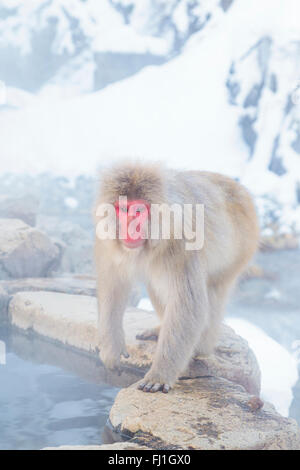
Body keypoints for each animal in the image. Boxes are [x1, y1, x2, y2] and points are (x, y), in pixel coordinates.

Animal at [95, 162, 258, 392]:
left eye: (138, 210)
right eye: (123, 209)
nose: (129, 227)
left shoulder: (182, 243)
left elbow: (189, 306)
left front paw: (160, 374)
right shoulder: (107, 237)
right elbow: (113, 284)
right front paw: (111, 349)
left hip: (241, 249)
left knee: (212, 293)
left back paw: (200, 348)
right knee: (155, 284)